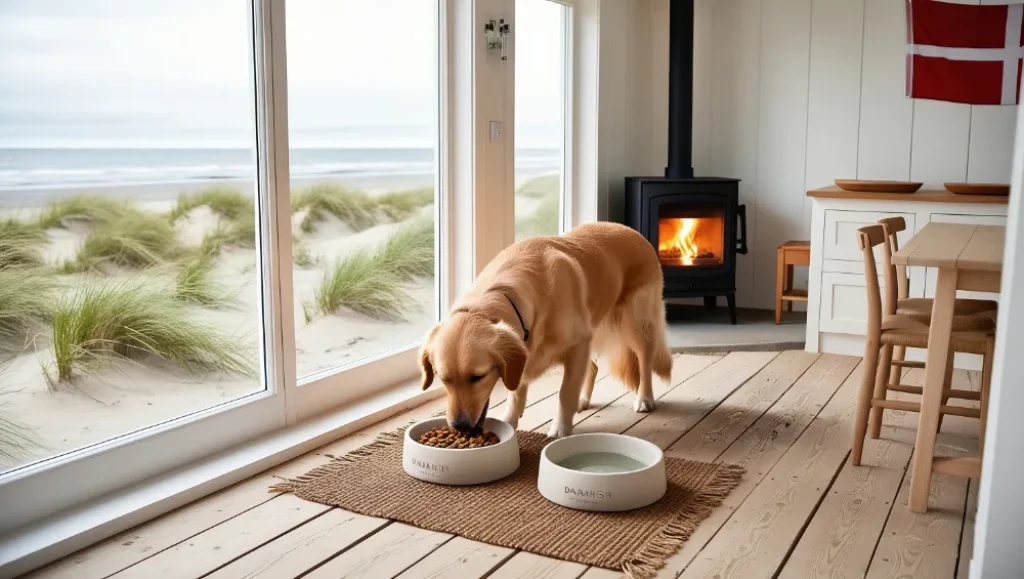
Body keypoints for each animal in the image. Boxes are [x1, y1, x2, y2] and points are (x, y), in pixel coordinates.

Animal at [415, 222, 671, 438]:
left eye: (477, 377)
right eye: (444, 379)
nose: (460, 426)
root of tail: (634, 232)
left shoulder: (577, 343)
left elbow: (565, 392)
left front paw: (560, 429)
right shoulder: (527, 353)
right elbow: (517, 391)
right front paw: (510, 419)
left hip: (636, 323)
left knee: (644, 361)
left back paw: (645, 398)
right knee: (593, 366)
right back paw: (583, 400)